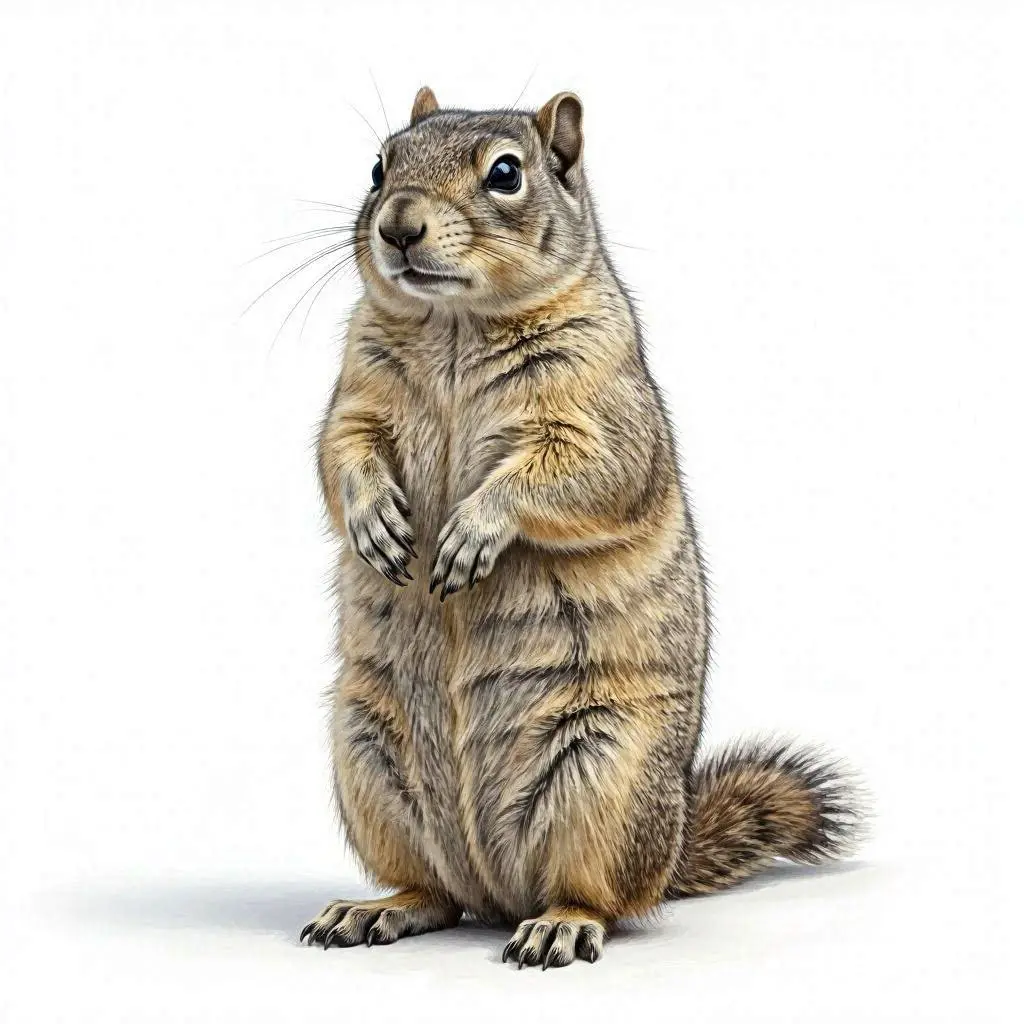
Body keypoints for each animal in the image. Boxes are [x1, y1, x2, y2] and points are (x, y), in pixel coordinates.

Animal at [300, 87, 865, 969]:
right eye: (378, 166)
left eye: (506, 173)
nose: (397, 225)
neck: (454, 323)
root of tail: (496, 892)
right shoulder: (357, 390)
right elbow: (340, 452)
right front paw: (376, 522)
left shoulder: (603, 404)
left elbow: (587, 474)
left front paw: (473, 530)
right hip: (366, 761)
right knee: (435, 893)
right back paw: (377, 909)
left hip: (606, 781)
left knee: (603, 895)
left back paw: (559, 925)